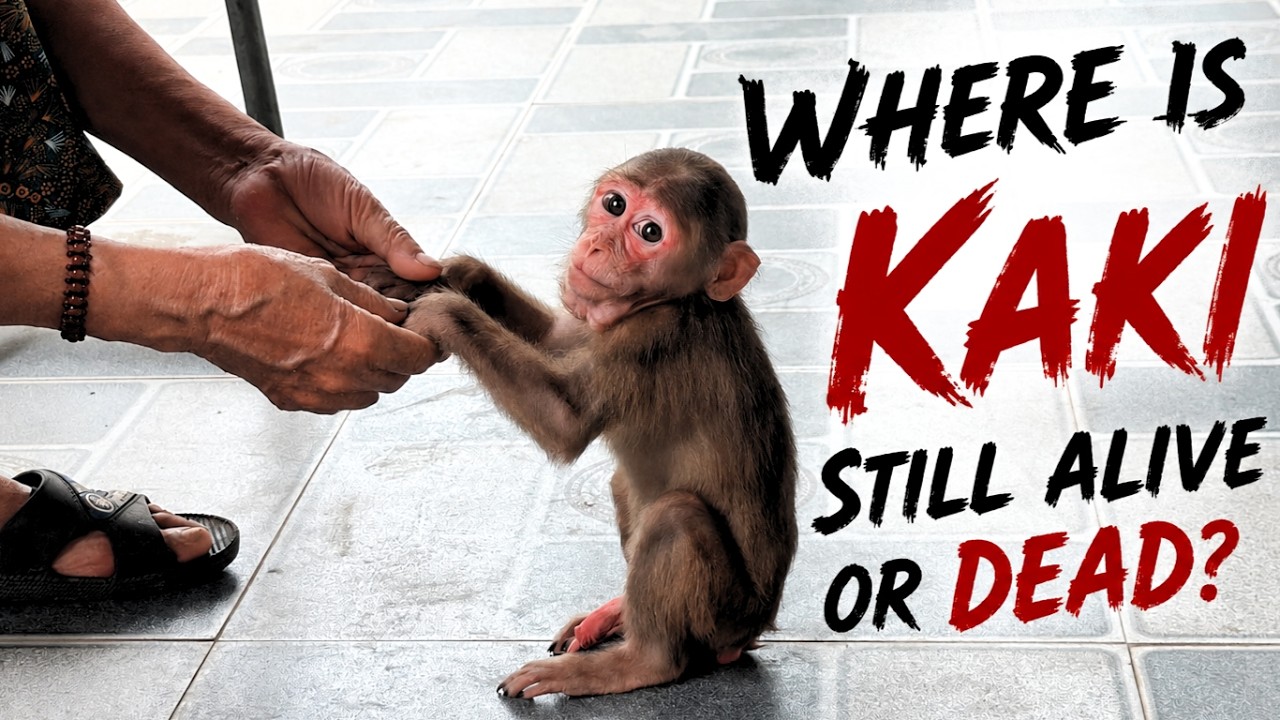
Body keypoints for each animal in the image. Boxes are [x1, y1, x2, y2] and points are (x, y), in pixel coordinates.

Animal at [392, 148, 797, 698]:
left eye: (650, 232)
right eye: (614, 204)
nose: (599, 244)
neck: (677, 301)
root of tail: (756, 627)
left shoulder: (651, 340)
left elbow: (565, 421)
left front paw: (442, 309)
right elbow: (560, 336)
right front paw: (464, 274)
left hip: (726, 614)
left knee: (675, 517)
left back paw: (636, 661)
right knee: (624, 485)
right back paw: (618, 615)